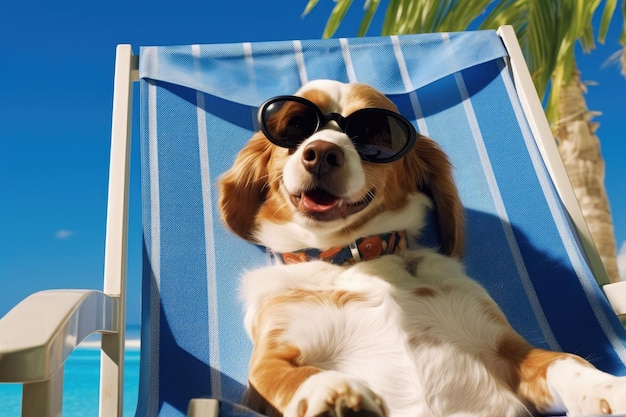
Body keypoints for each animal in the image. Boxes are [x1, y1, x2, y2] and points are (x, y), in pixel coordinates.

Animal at [216, 79, 624, 416]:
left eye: (375, 134)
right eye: (295, 126)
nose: (321, 152)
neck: (357, 258)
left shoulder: (510, 348)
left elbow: (568, 361)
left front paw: (608, 389)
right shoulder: (270, 361)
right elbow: (295, 377)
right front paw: (332, 391)